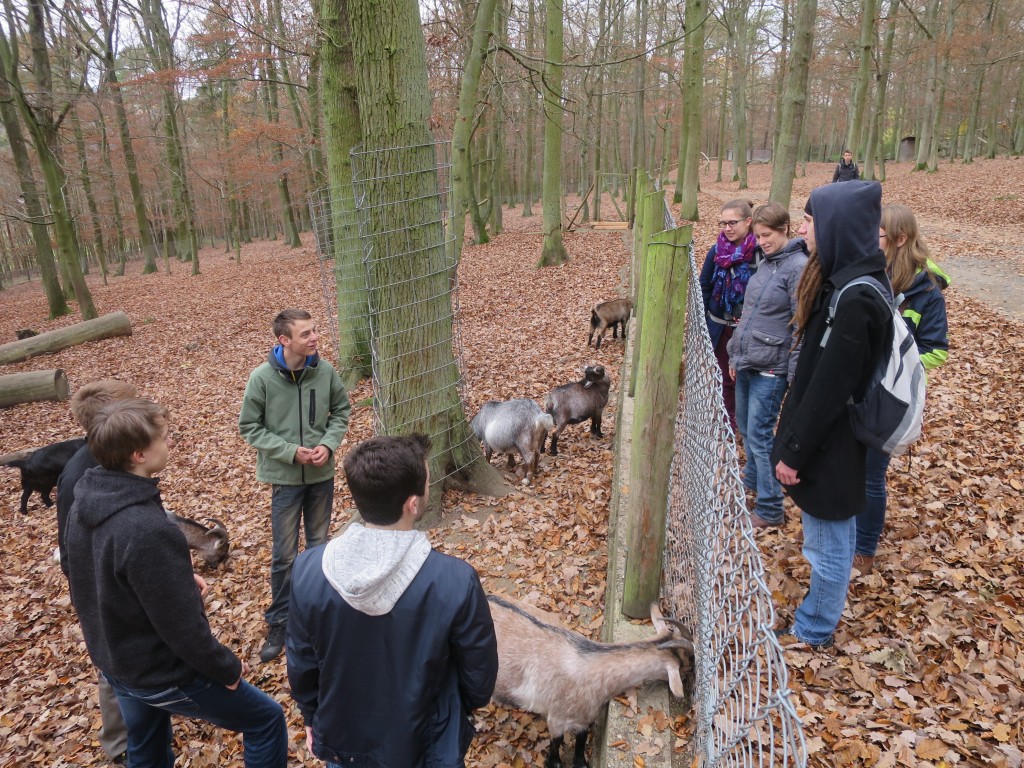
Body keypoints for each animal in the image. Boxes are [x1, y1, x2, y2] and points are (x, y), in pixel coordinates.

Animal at [488, 596, 693, 768]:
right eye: (684, 665)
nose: (689, 674)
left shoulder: (585, 718)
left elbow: (580, 745)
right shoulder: (556, 719)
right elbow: (556, 745)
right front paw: (554, 762)